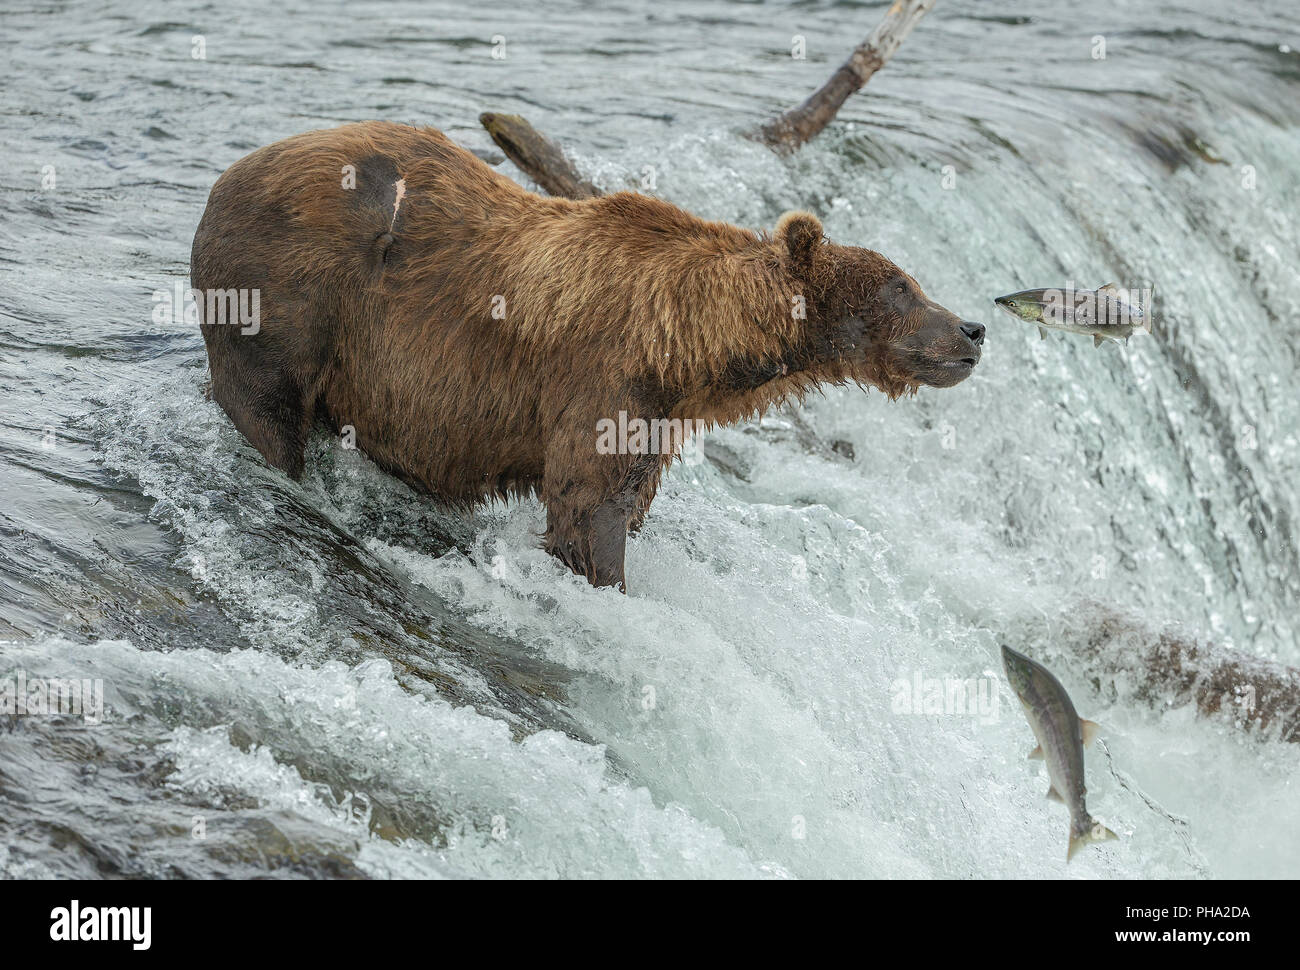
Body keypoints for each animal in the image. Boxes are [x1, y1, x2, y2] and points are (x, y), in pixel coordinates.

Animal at [192, 120, 982, 590]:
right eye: (903, 287)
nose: (972, 330)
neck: (688, 348)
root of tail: (227, 174)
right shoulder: (604, 380)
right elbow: (586, 503)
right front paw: (605, 576)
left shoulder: (658, 415)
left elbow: (628, 495)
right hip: (291, 292)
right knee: (268, 405)